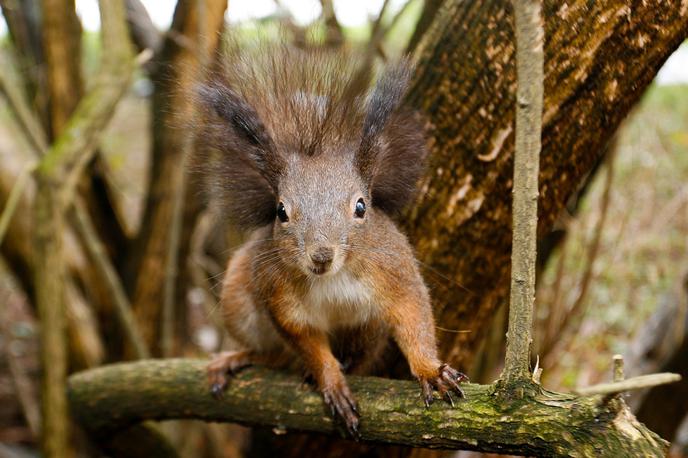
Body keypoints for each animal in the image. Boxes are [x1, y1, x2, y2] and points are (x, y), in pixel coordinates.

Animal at [199, 44, 468, 438]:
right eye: (281, 211)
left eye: (361, 206)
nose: (321, 256)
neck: (333, 278)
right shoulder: (280, 296)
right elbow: (307, 342)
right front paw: (331, 382)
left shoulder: (394, 269)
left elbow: (413, 316)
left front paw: (430, 369)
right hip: (238, 299)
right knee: (276, 355)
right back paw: (240, 357)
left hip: (367, 331)